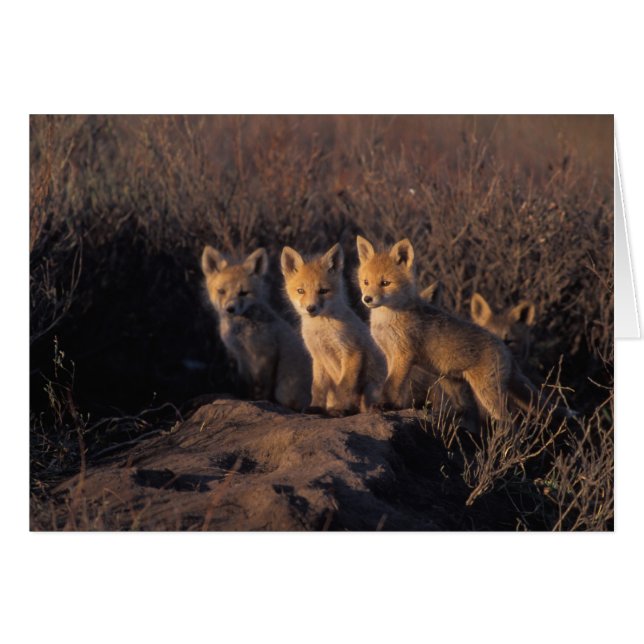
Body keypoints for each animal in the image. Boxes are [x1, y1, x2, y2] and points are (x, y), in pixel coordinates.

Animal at [201, 245, 311, 411]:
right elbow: (246, 384)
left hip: (286, 387)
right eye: (221, 291)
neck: (242, 335)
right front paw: (247, 399)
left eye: (243, 293)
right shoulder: (242, 358)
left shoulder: (266, 355)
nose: (230, 309)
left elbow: (263, 388)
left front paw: (262, 401)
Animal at [281, 243, 386, 416]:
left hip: (371, 386)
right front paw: (315, 407)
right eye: (301, 291)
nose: (311, 308)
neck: (322, 331)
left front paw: (339, 409)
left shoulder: (352, 352)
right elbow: (317, 388)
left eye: (323, 291)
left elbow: (344, 387)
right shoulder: (318, 357)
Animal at [356, 235, 542, 421]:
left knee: (509, 420)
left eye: (385, 283)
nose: (367, 299)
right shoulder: (390, 354)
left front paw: (383, 405)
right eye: (366, 282)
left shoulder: (404, 354)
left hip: (486, 393)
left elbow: (391, 386)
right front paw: (395, 406)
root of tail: (505, 349)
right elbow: (397, 387)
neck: (386, 320)